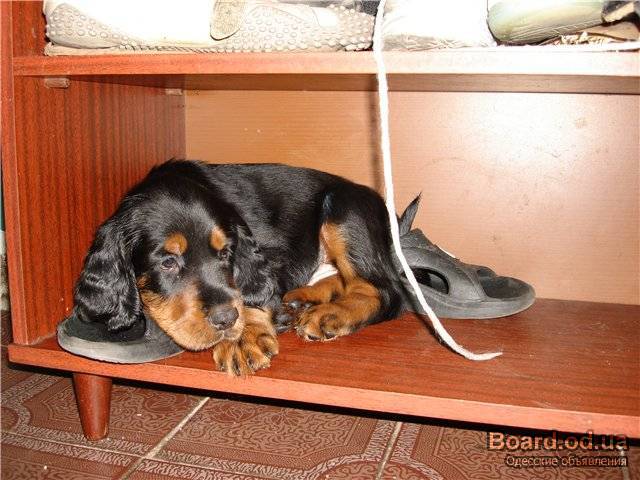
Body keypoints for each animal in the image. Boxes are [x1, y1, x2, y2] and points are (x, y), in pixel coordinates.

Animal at [70, 160, 410, 375]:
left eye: (226, 254)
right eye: (167, 262)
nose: (225, 320)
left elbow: (246, 290)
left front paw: (243, 337)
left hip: (342, 208)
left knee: (384, 290)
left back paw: (331, 314)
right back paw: (303, 299)